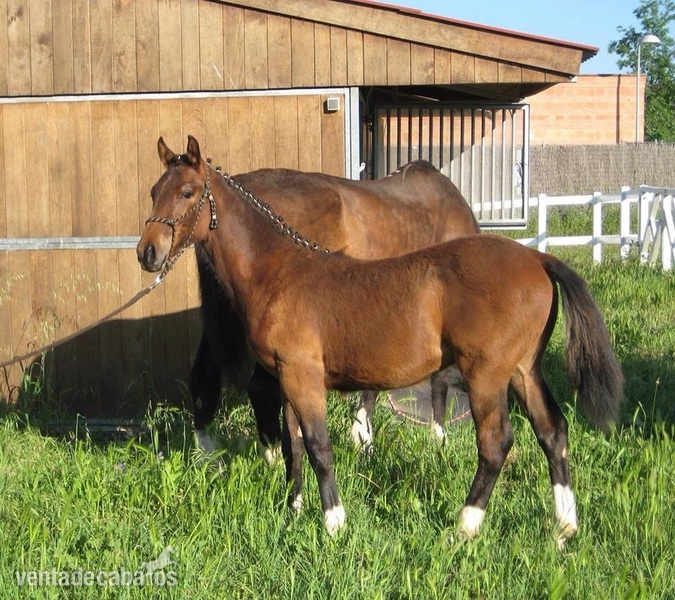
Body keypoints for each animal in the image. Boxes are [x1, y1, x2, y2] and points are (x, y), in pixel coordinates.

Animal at [189, 157, 479, 457]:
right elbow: (439, 379)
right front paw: (437, 438)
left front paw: (363, 436)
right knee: (259, 390)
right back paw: (274, 455)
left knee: (203, 378)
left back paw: (207, 453)